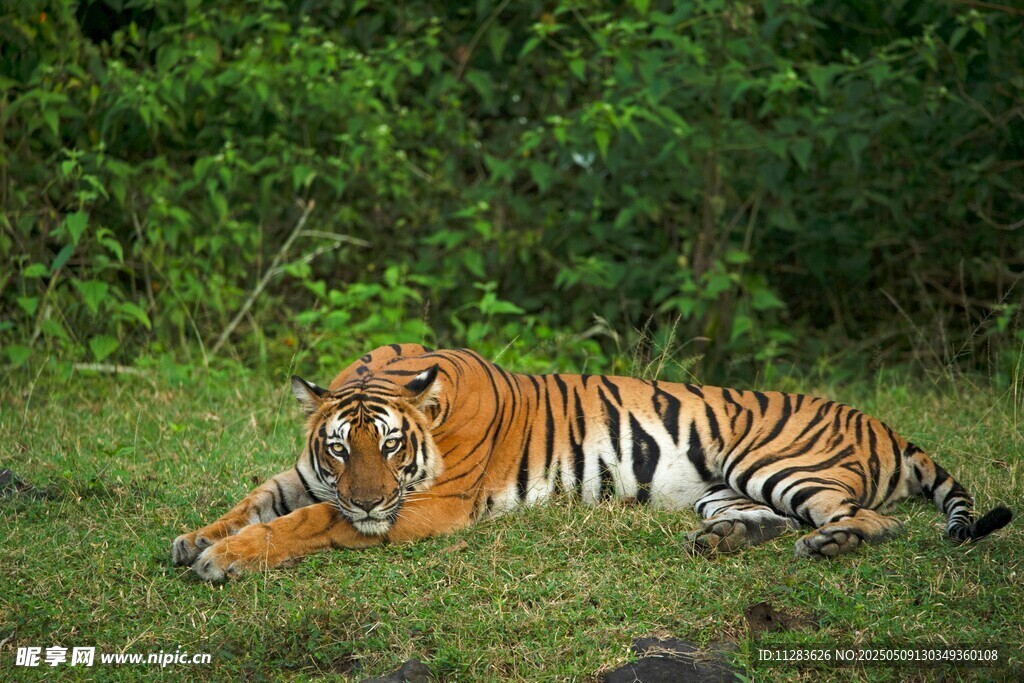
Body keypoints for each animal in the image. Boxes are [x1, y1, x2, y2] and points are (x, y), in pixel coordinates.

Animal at [171, 344, 1013, 581]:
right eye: (341, 447)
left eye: (392, 445)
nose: (371, 501)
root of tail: (886, 425)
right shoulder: (313, 476)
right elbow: (261, 495)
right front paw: (193, 537)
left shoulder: (427, 508)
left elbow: (309, 520)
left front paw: (222, 559)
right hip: (721, 489)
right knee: (760, 519)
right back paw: (722, 542)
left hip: (774, 459)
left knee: (872, 519)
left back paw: (829, 542)